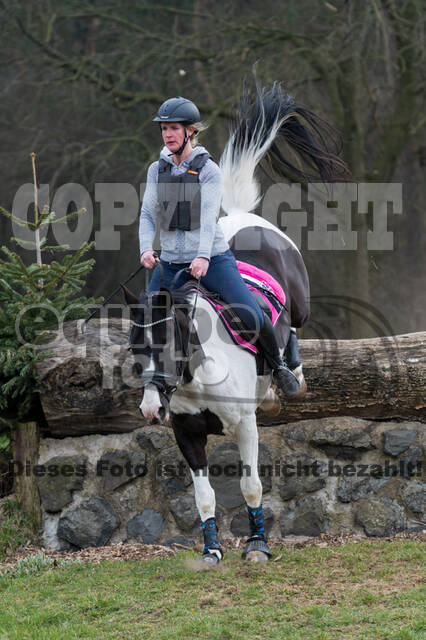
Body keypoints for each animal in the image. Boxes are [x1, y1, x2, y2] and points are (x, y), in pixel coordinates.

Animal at [123, 80, 350, 564]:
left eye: (168, 344)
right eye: (135, 348)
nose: (151, 409)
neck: (199, 373)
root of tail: (242, 216)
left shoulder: (245, 424)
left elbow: (250, 485)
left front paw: (258, 545)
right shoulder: (187, 434)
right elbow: (204, 496)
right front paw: (211, 550)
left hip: (300, 303)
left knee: (289, 327)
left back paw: (290, 376)